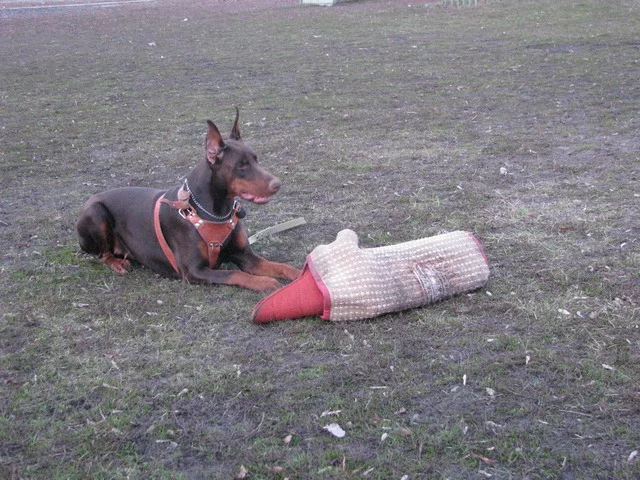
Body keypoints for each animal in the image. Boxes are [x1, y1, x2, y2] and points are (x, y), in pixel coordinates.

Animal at [76, 109, 301, 291]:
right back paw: (118, 263)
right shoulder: (193, 270)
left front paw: (302, 274)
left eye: (256, 159)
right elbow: (235, 273)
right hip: (96, 213)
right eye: (241, 165)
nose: (278, 184)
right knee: (102, 254)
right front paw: (265, 282)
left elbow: (279, 266)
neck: (216, 211)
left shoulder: (245, 256)